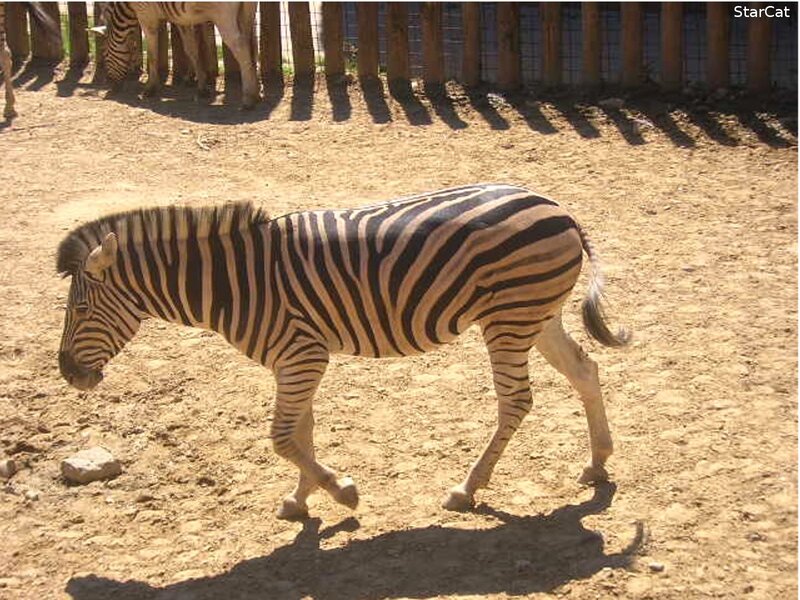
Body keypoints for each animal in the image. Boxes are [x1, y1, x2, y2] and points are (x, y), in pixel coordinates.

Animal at [57, 184, 629, 520]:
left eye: (80, 309)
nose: (67, 375)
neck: (232, 282)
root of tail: (560, 209)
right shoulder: (295, 357)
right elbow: (300, 432)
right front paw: (301, 498)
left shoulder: (302, 355)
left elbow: (282, 438)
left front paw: (341, 491)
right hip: (536, 313)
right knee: (585, 370)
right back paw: (597, 463)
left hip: (509, 319)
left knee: (516, 401)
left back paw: (467, 489)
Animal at [90, 2, 258, 108]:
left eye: (104, 53)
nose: (112, 86)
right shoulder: (182, 19)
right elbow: (191, 50)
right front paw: (201, 86)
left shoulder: (146, 15)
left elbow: (152, 54)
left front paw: (150, 88)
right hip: (247, 11)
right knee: (248, 43)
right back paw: (254, 90)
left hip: (222, 15)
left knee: (240, 46)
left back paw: (249, 99)